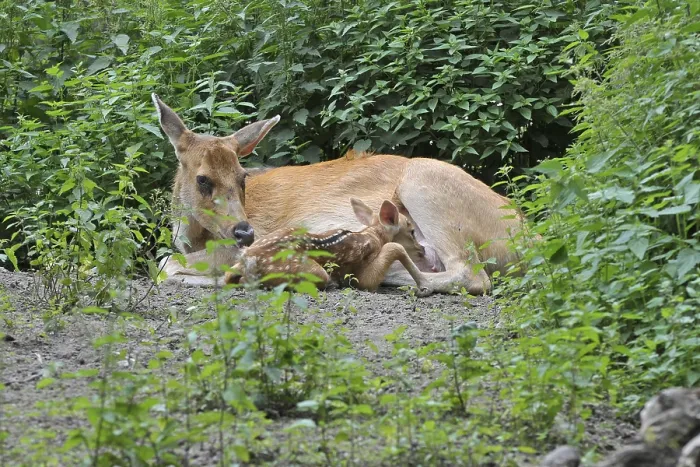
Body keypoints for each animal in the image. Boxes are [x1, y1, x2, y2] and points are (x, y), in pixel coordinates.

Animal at [224, 198, 433, 295]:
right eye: (412, 231)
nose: (422, 250)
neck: (372, 235)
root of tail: (247, 258)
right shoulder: (360, 277)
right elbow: (395, 248)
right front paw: (424, 285)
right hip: (306, 270)